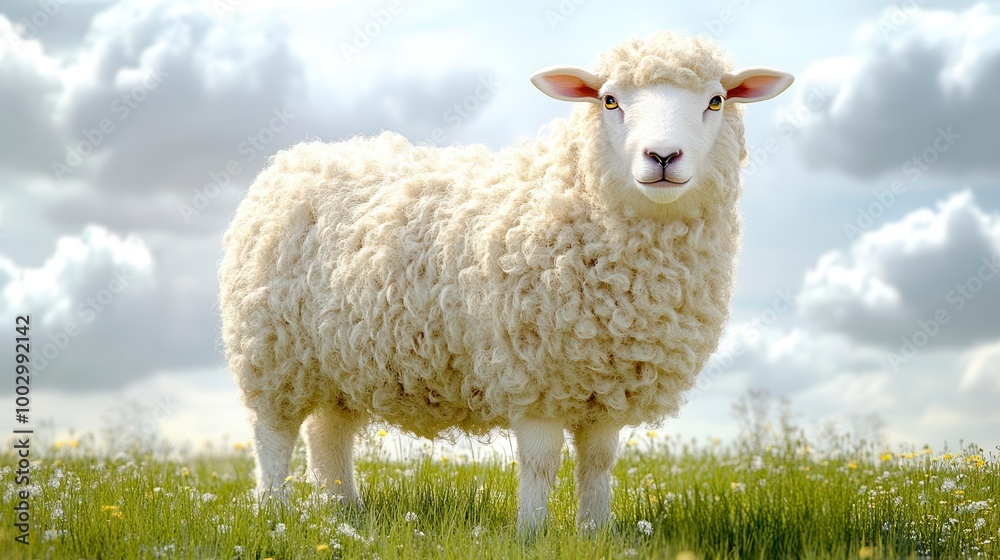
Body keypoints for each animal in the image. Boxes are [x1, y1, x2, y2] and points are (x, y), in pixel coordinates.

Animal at [218, 30, 793, 531]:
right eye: (609, 100)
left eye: (716, 100)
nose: (663, 157)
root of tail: (292, 159)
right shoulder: (532, 376)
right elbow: (540, 464)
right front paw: (532, 533)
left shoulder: (604, 384)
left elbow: (599, 463)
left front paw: (595, 531)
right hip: (273, 353)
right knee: (273, 438)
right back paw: (273, 512)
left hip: (338, 362)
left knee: (328, 436)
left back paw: (345, 513)